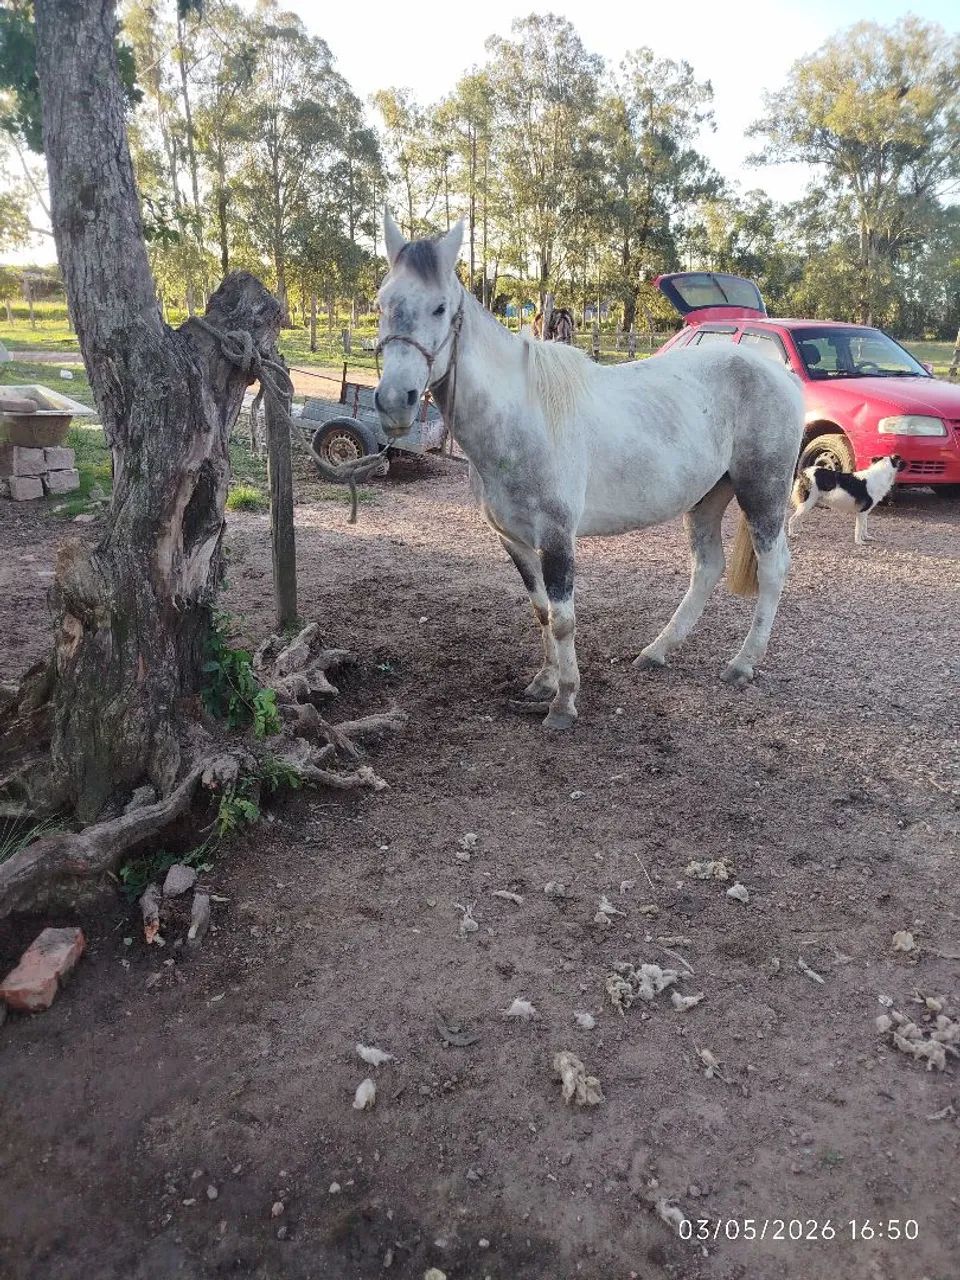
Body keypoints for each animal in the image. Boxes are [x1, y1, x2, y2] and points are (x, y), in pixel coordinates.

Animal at [374, 214, 804, 730]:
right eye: (381, 303)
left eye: (440, 308)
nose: (394, 400)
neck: (521, 415)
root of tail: (781, 375)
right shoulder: (515, 540)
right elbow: (541, 611)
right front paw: (543, 683)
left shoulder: (557, 537)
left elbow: (563, 619)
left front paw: (564, 702)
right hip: (705, 499)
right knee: (707, 568)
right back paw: (657, 652)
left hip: (762, 492)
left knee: (774, 569)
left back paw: (742, 663)